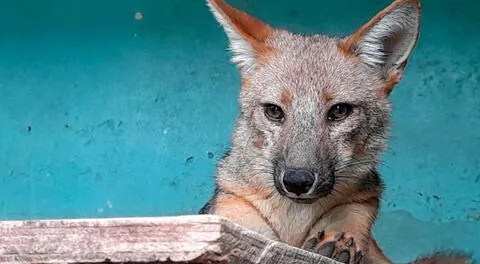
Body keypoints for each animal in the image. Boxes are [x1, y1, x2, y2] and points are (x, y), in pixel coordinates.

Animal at [199, 0, 472, 264]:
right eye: (274, 112)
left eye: (339, 111)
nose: (297, 181)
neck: (294, 228)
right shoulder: (233, 217)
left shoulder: (360, 205)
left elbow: (347, 222)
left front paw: (339, 242)